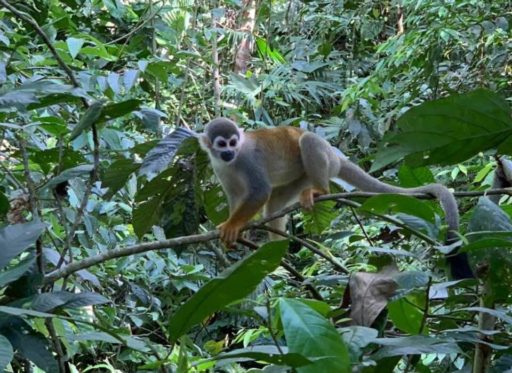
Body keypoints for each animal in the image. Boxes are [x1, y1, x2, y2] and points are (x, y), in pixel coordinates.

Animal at [196, 117, 472, 278]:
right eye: (222, 145)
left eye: (233, 142)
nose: (230, 152)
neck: (233, 160)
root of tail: (336, 157)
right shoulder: (220, 167)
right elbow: (237, 196)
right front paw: (233, 231)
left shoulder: (248, 160)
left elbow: (260, 191)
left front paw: (233, 226)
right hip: (300, 177)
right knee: (274, 204)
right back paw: (275, 250)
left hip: (322, 164)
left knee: (308, 141)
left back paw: (321, 191)